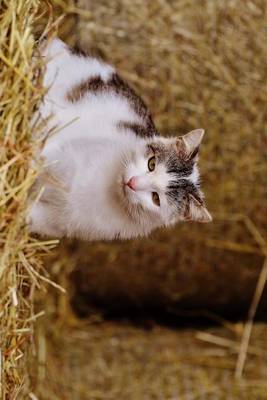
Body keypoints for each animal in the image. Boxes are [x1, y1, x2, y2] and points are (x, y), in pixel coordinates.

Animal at [28, 38, 211, 241]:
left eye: (156, 198)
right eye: (152, 163)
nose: (132, 182)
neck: (107, 190)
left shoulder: (56, 221)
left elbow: (31, 216)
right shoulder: (62, 151)